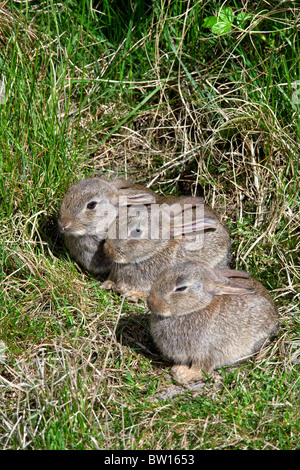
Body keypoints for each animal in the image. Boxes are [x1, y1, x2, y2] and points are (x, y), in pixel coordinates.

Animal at [148, 262, 278, 384]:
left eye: (181, 288)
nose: (151, 303)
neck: (198, 307)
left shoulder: (207, 352)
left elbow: (201, 368)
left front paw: (182, 374)